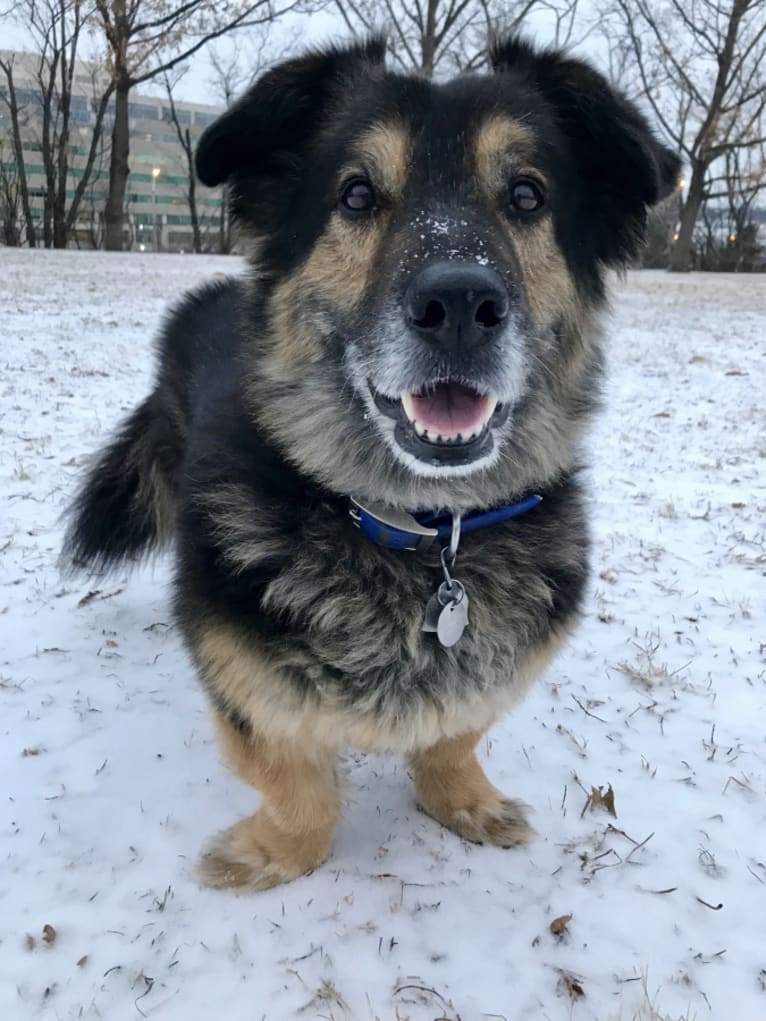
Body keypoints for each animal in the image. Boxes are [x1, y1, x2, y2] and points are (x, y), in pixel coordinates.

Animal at [63, 35, 682, 890]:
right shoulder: (240, 673)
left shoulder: (492, 668)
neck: (418, 529)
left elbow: (456, 732)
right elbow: (300, 784)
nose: (459, 306)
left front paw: (461, 796)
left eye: (527, 196)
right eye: (356, 195)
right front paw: (272, 852)